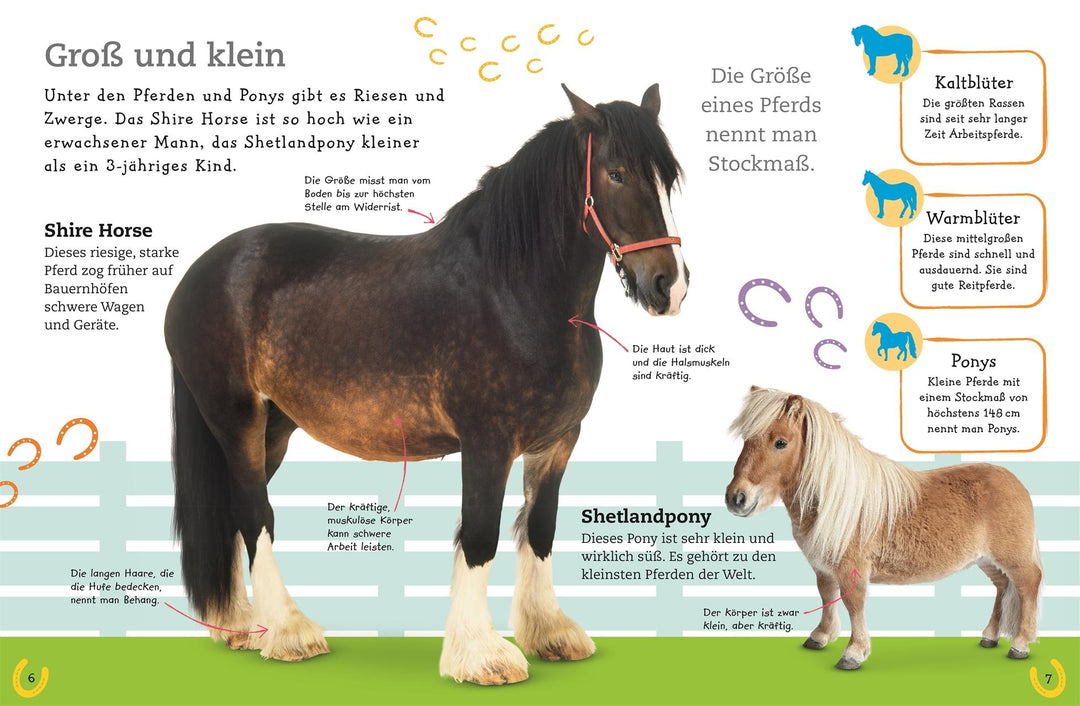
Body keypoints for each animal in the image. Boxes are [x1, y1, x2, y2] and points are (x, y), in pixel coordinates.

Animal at [164, 84, 688, 685]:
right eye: (616, 173)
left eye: (667, 178)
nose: (669, 287)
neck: (513, 292)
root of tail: (200, 273)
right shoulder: (488, 443)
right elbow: (479, 536)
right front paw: (482, 655)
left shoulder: (557, 442)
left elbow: (540, 529)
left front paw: (550, 633)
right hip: (236, 419)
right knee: (255, 515)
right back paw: (290, 633)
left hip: (274, 426)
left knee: (233, 510)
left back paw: (238, 627)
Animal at [726, 387, 1042, 670]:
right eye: (746, 440)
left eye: (780, 442)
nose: (736, 498)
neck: (837, 498)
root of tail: (1015, 482)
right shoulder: (823, 567)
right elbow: (827, 597)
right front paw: (820, 637)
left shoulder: (851, 567)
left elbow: (854, 603)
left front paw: (853, 653)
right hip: (987, 560)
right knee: (1002, 587)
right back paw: (990, 637)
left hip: (1013, 558)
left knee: (1028, 585)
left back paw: (1020, 645)